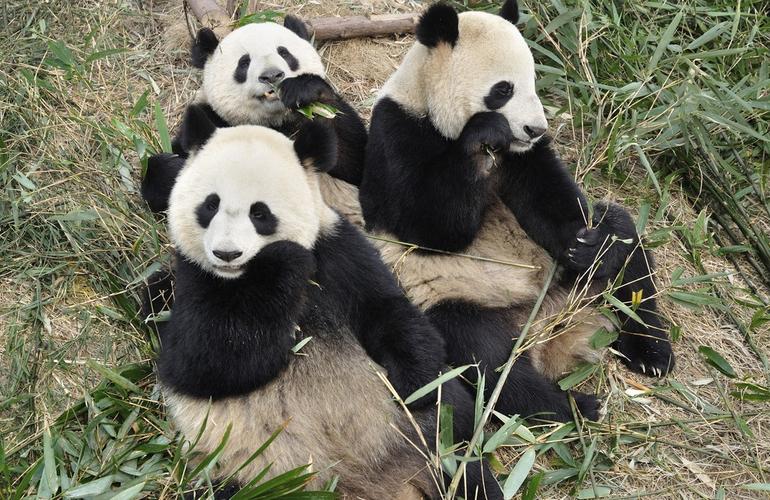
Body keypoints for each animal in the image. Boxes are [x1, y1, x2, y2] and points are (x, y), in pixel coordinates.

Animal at [142, 16, 366, 219]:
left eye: (284, 53)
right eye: (244, 62)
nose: (272, 76)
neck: (272, 122)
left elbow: (355, 164)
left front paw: (305, 91)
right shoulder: (209, 119)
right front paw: (175, 169)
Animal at [152, 110, 500, 500]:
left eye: (260, 213)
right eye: (210, 205)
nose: (228, 254)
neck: (242, 280)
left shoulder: (337, 249)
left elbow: (386, 310)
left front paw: (415, 380)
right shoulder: (193, 279)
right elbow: (206, 361)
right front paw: (282, 264)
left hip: (423, 439)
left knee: (458, 441)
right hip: (250, 477)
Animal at [356, 0, 676, 414]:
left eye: (535, 82)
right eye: (504, 89)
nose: (536, 129)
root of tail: (549, 323)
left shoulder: (523, 157)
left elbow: (547, 200)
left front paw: (586, 247)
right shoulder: (397, 131)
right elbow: (426, 227)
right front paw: (482, 134)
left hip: (573, 276)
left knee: (627, 251)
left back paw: (651, 352)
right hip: (455, 297)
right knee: (485, 358)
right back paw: (575, 407)